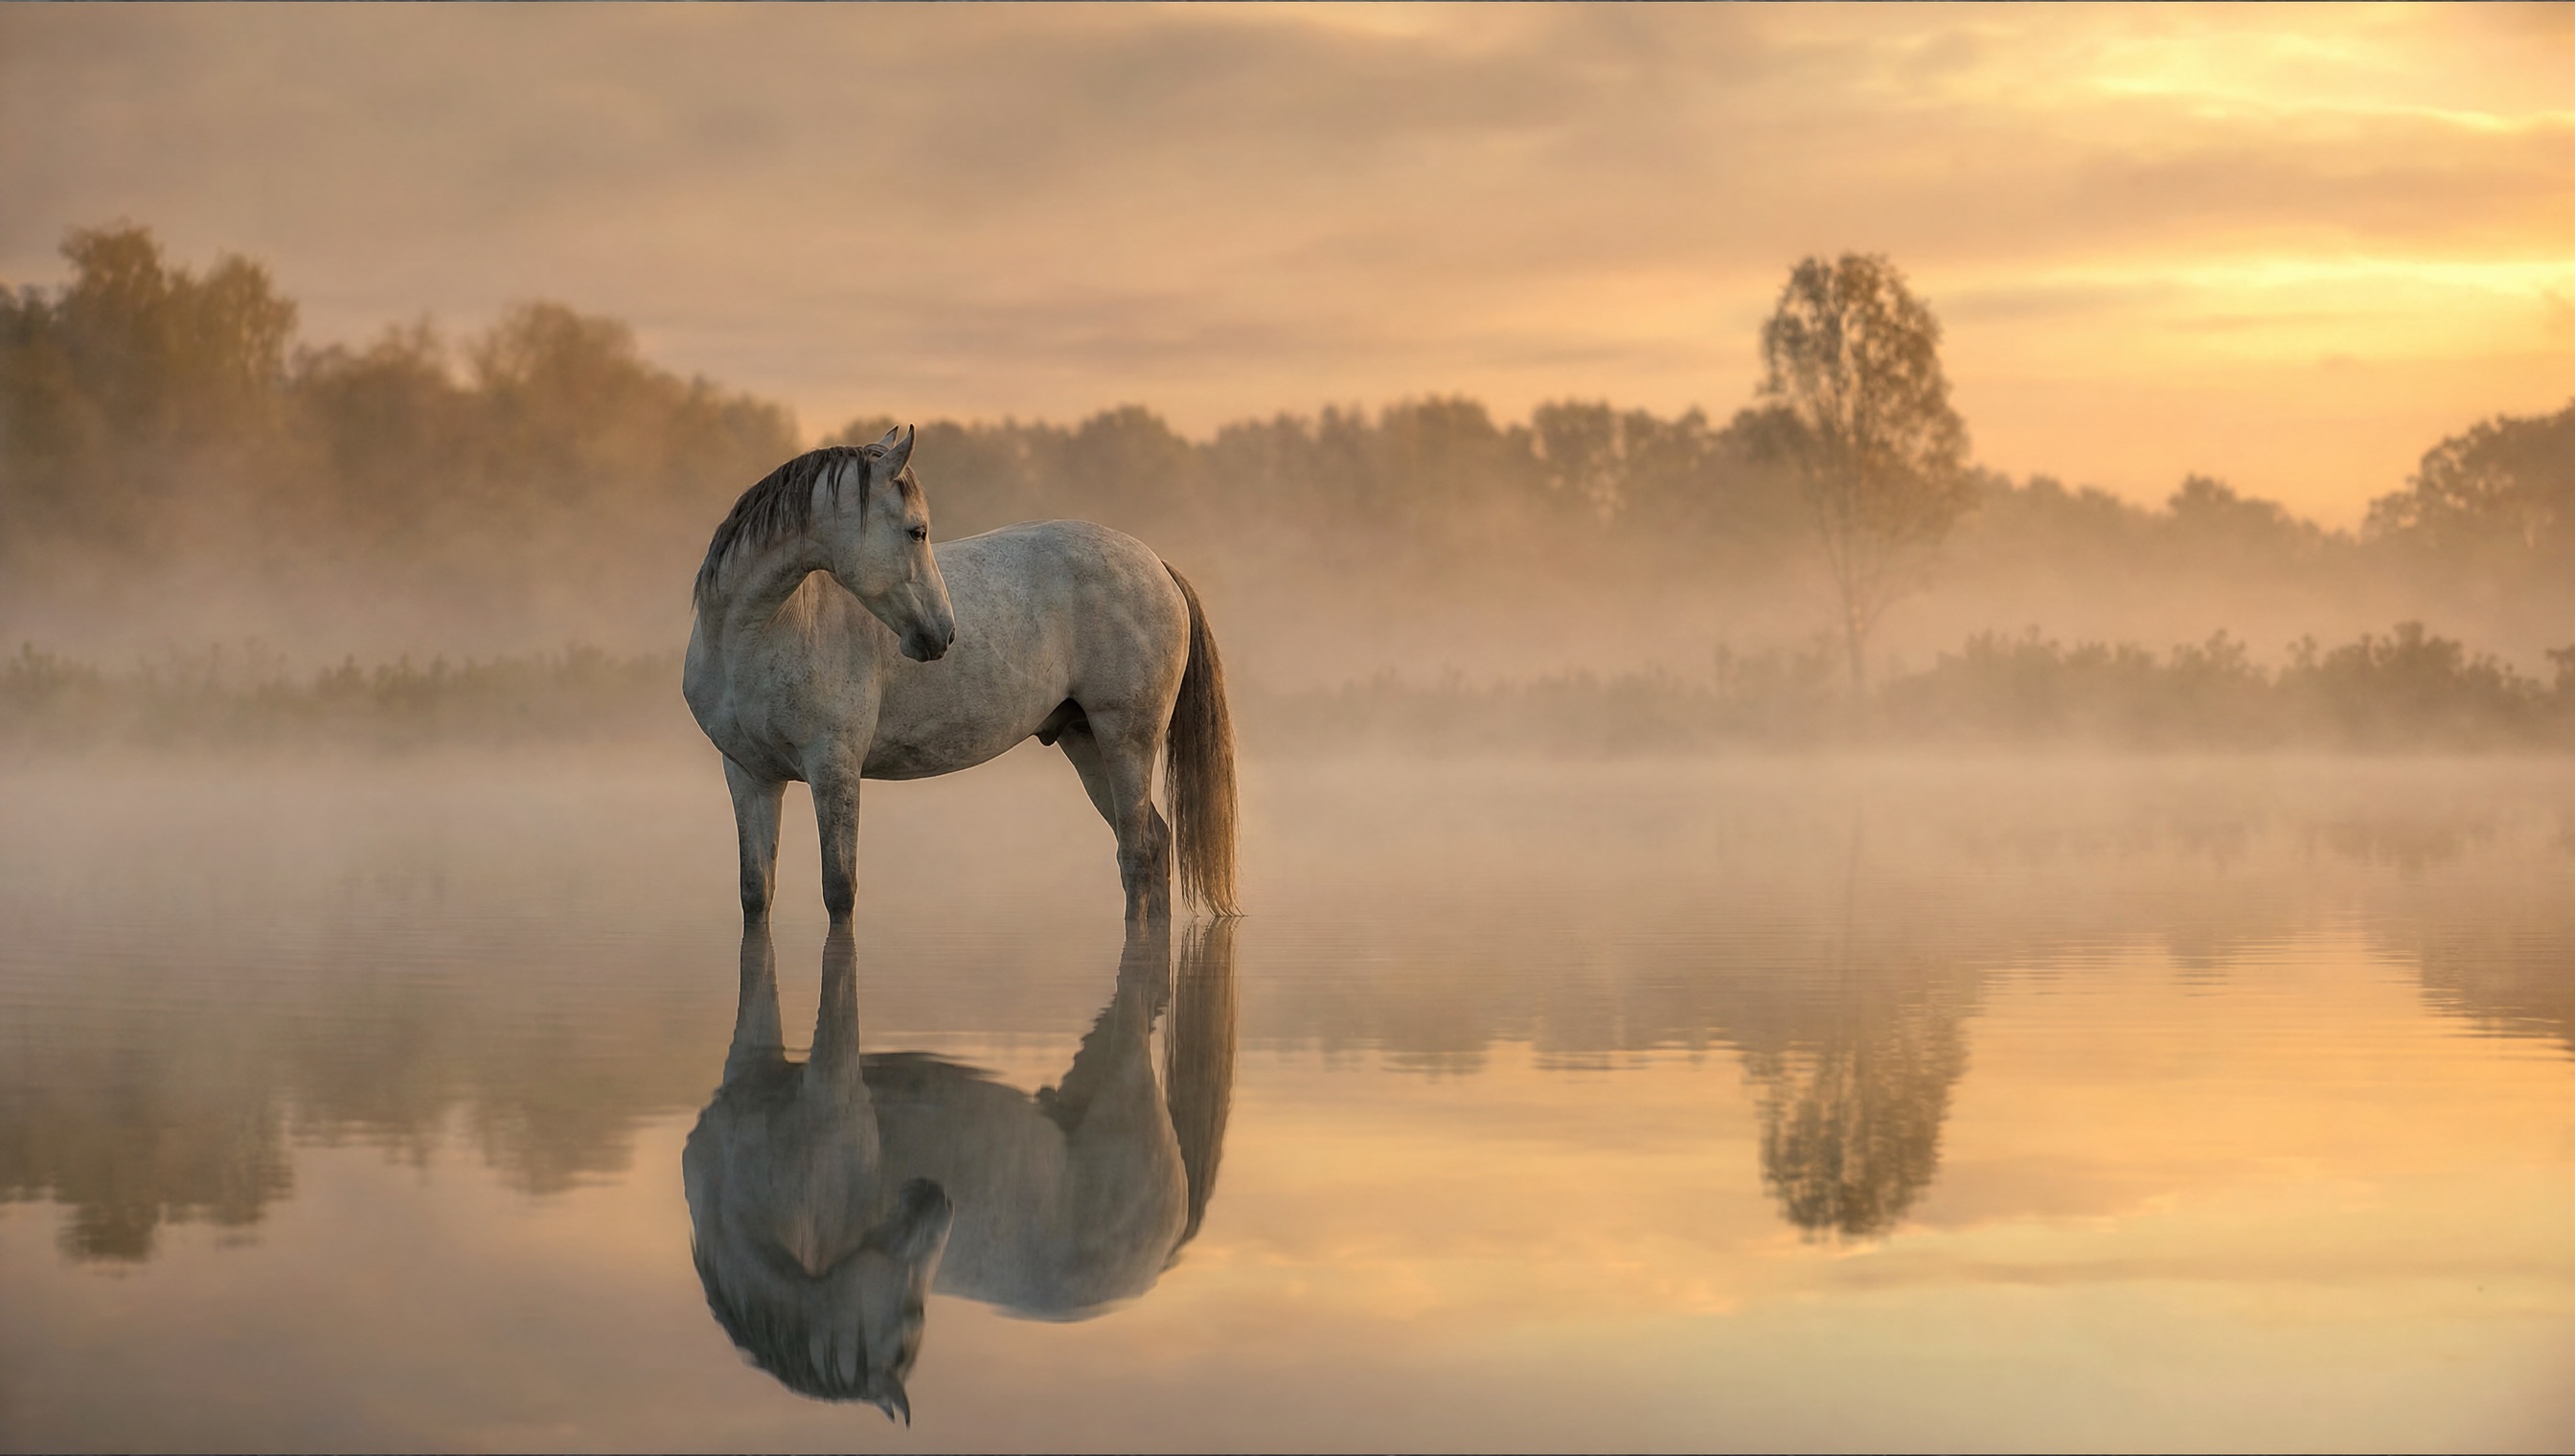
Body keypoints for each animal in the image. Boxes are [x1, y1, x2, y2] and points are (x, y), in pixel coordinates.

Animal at [681, 426, 1238, 922]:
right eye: (917, 531)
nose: (942, 634)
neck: (753, 640)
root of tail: (1155, 563)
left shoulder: (834, 770)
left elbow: (839, 892)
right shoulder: (750, 776)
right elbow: (756, 893)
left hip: (1126, 739)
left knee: (1137, 854)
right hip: (1086, 742)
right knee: (1152, 841)